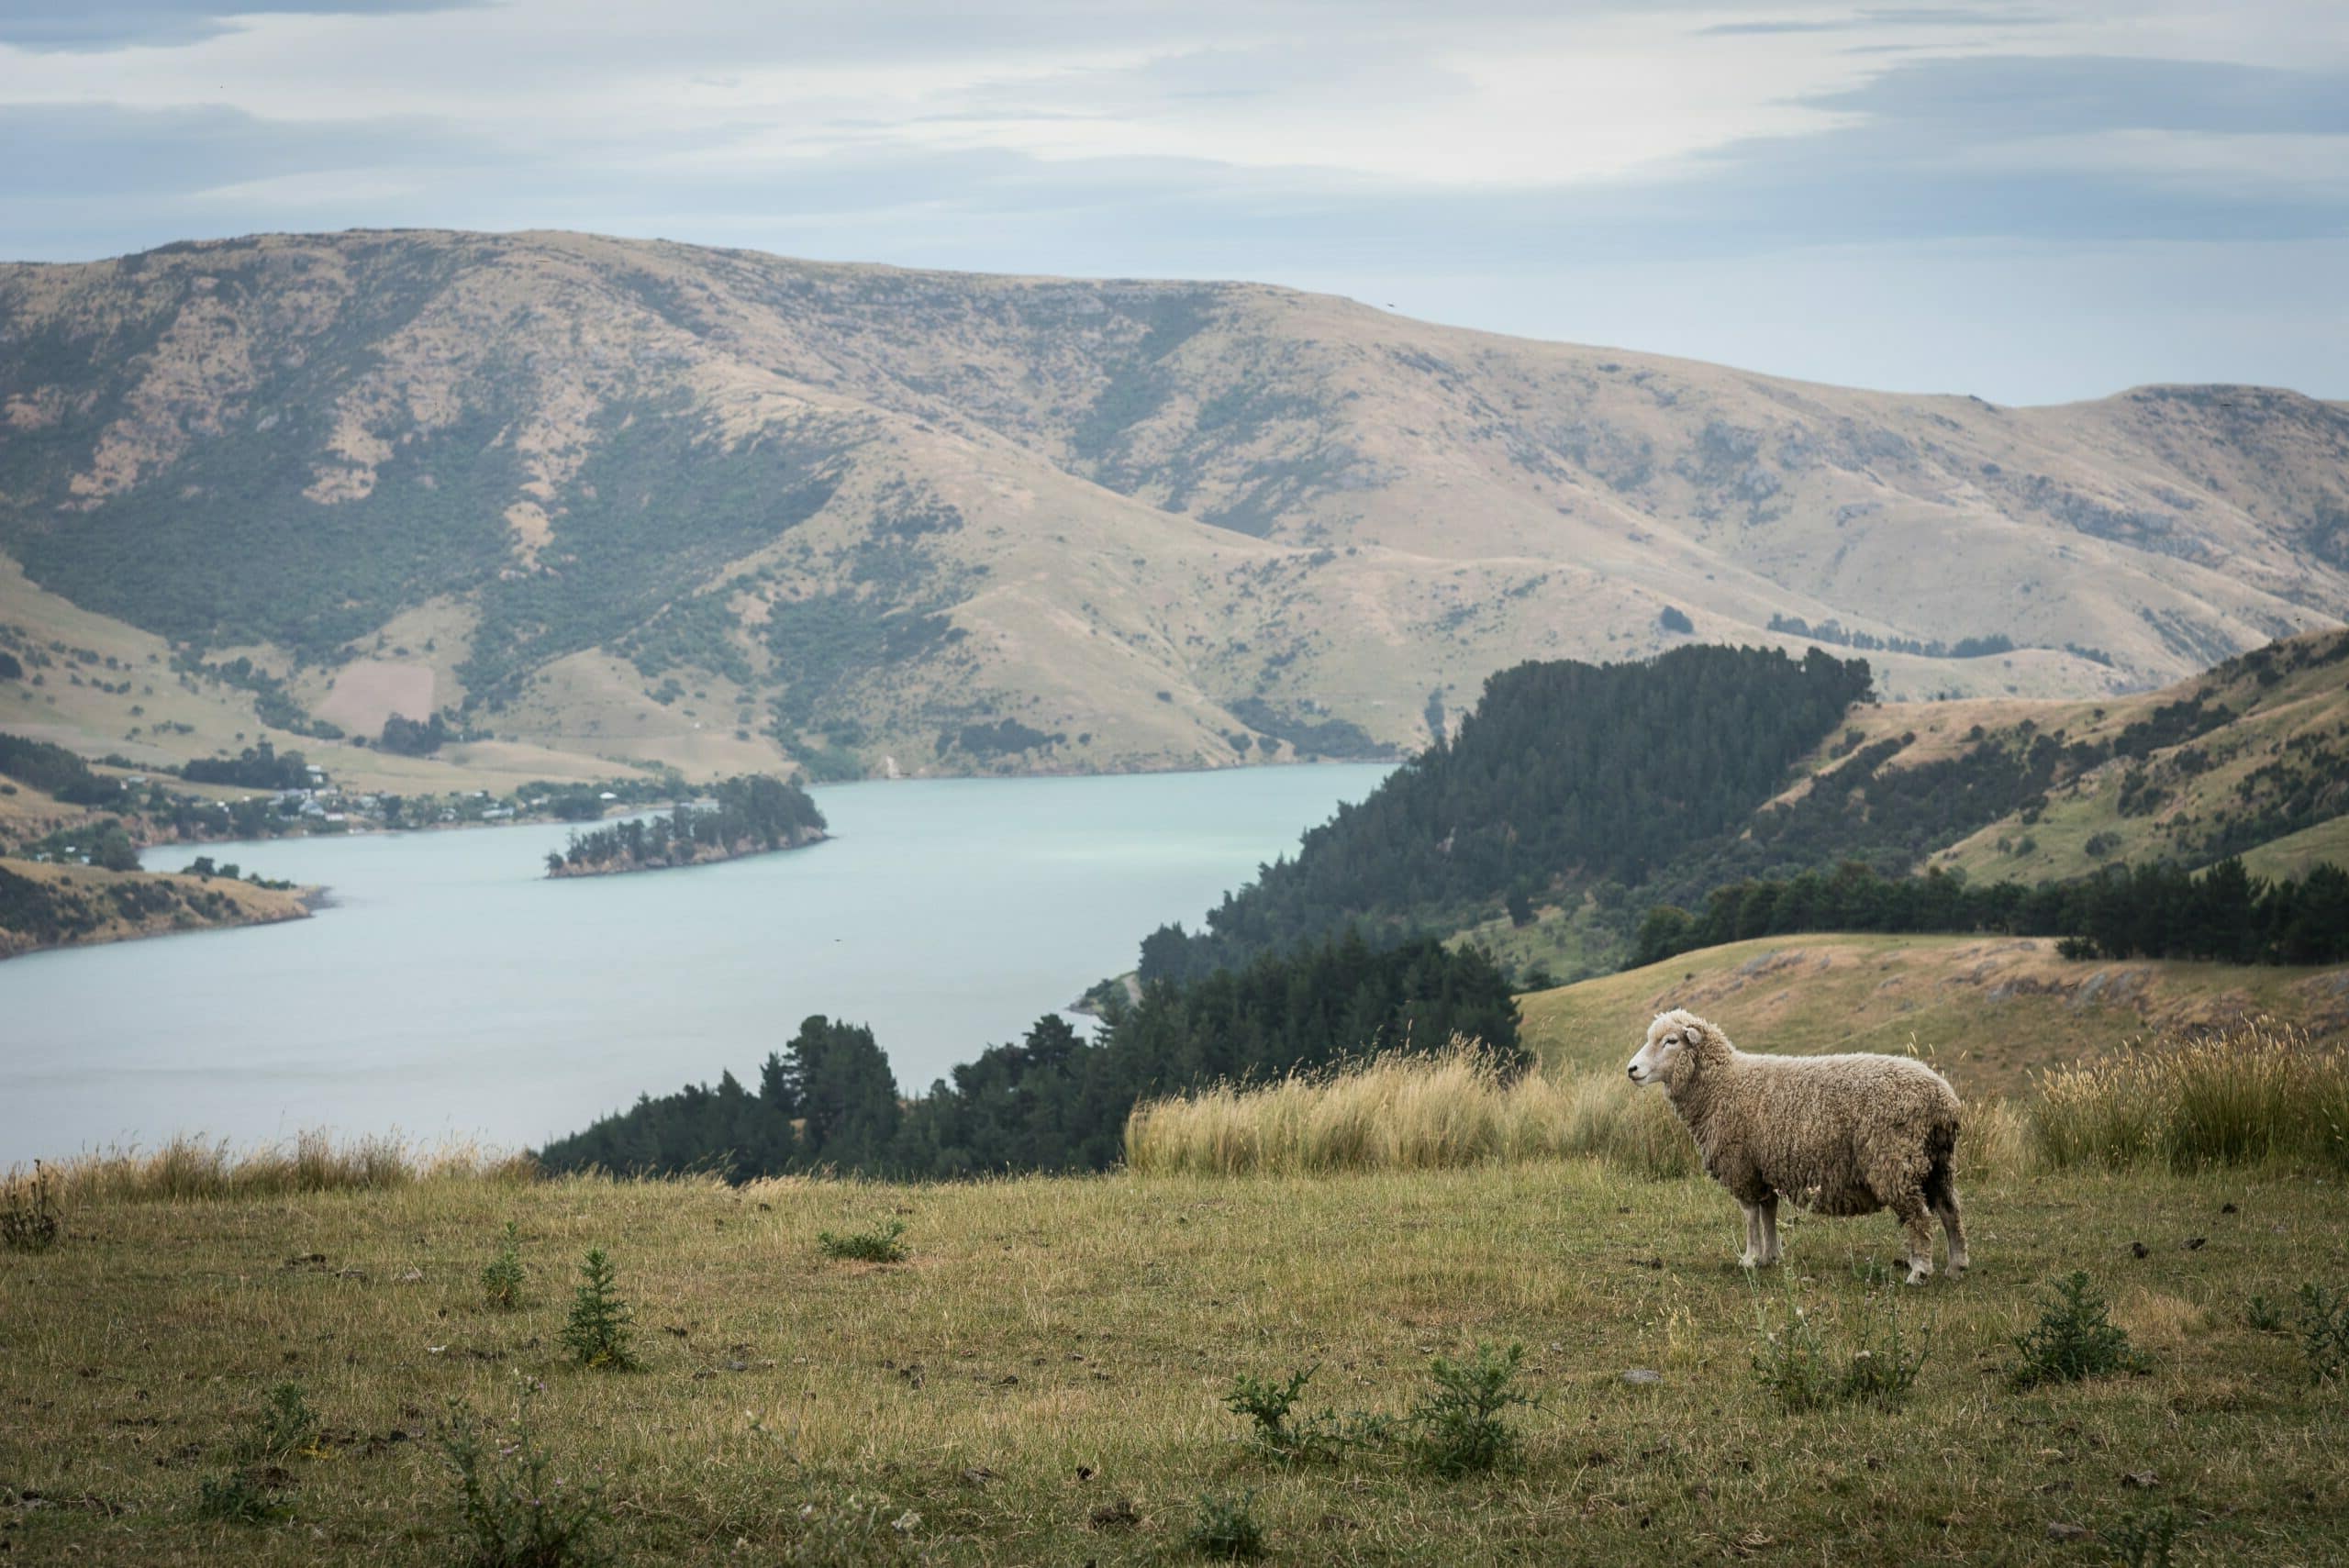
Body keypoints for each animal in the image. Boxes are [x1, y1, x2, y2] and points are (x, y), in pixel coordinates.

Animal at [1625, 1009, 1973, 1276]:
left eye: (1671, 1041)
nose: (1632, 1069)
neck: (1723, 1084)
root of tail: (1944, 1100)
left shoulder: (1741, 1166)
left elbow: (1750, 1216)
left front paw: (1750, 1258)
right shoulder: (1762, 1167)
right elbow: (1768, 1212)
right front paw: (1770, 1256)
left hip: (1894, 1160)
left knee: (1919, 1217)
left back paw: (1920, 1271)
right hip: (1938, 1161)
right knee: (1950, 1210)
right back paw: (1956, 1266)